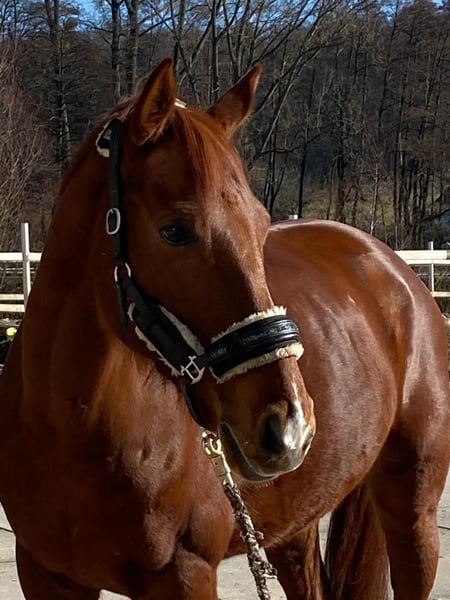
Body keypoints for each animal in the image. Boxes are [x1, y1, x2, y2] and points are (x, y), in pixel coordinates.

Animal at [0, 59, 448, 600]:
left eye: (261, 223)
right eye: (174, 231)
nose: (290, 426)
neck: (73, 430)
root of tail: (395, 268)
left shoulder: (186, 574)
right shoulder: (45, 575)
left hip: (413, 513)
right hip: (293, 524)